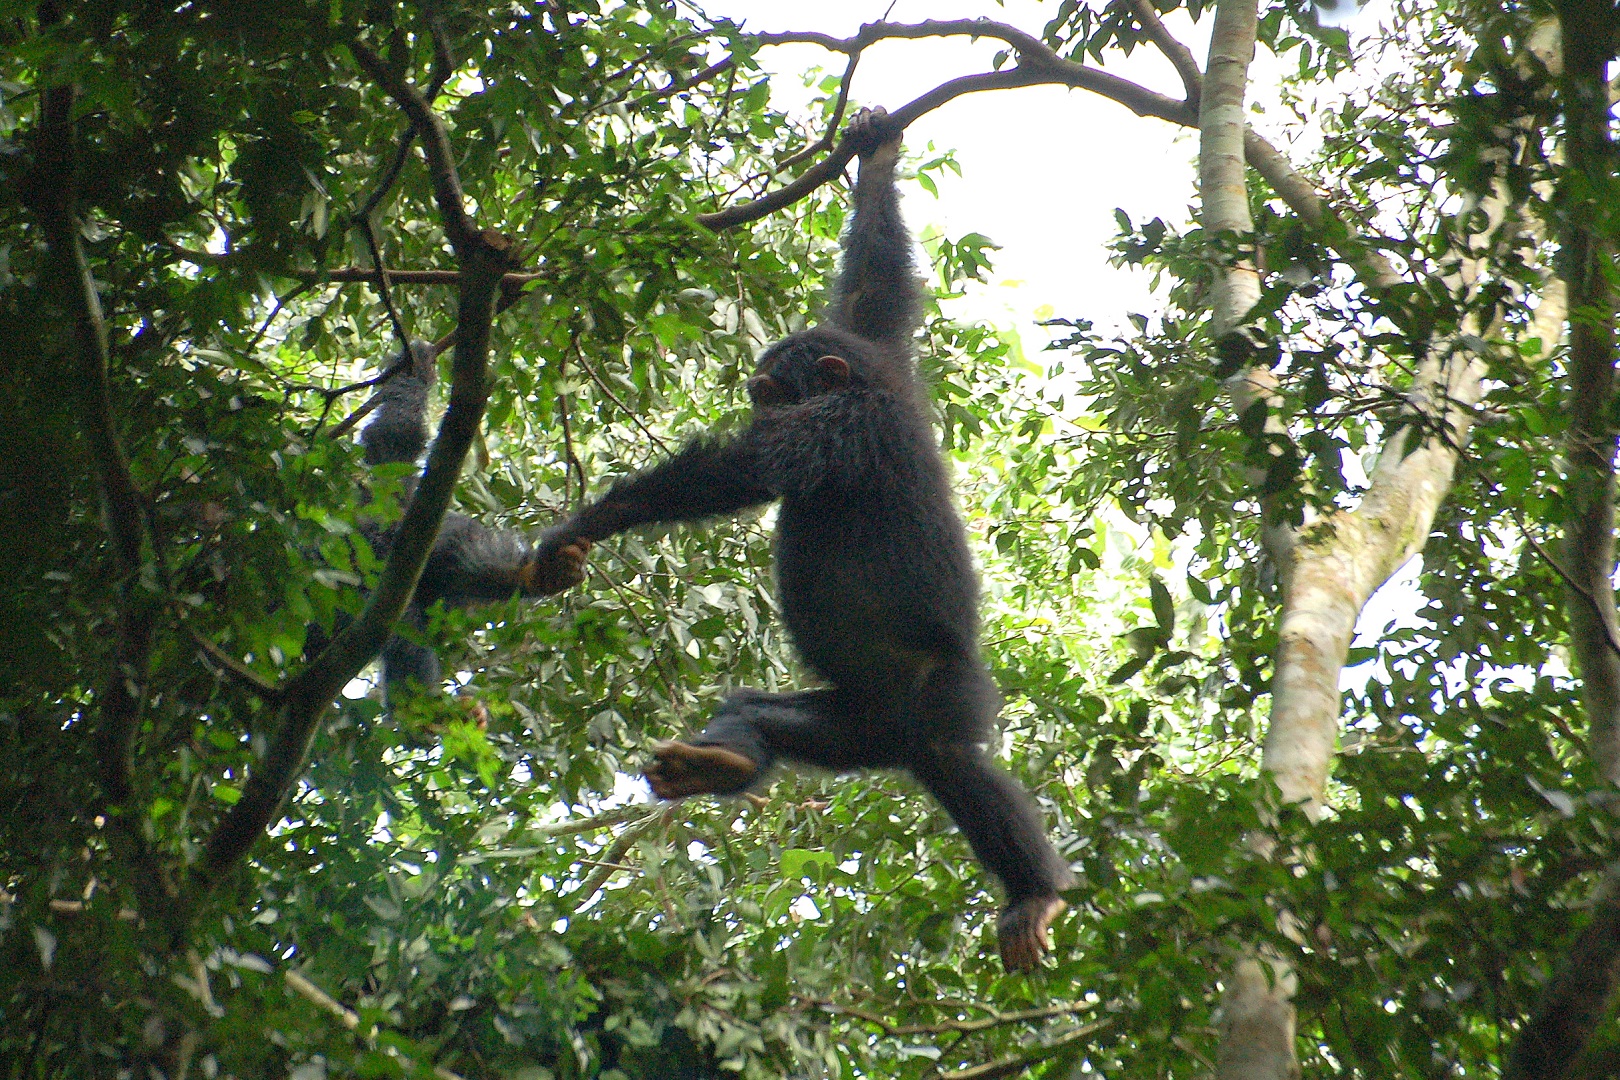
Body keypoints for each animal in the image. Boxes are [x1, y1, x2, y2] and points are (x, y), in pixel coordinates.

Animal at [524, 110, 1069, 971]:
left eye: (775, 389)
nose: (756, 396)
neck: (868, 385)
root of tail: (890, 743)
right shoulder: (881, 350)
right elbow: (874, 289)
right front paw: (876, 156)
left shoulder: (841, 424)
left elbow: (737, 472)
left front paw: (582, 528)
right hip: (845, 730)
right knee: (759, 711)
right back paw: (721, 758)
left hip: (942, 700)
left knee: (958, 764)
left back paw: (1034, 892)